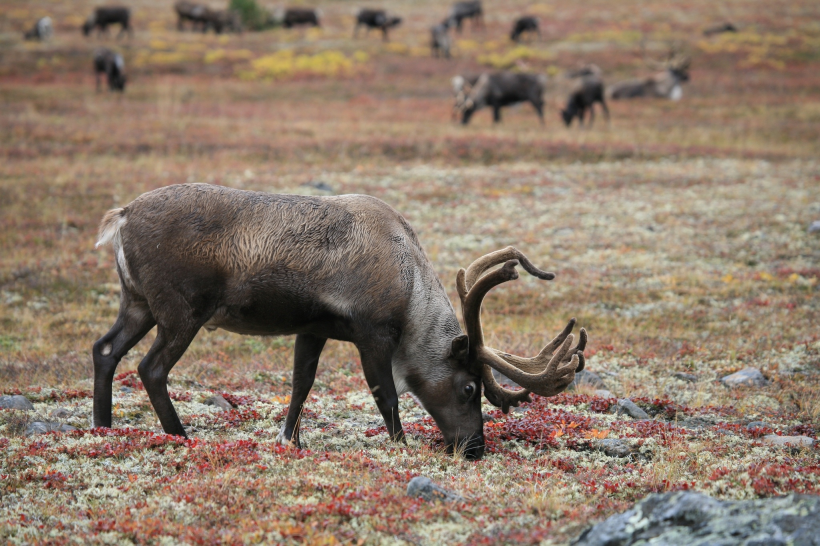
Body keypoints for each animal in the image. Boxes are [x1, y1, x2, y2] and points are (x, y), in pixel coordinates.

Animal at [94, 184, 584, 460]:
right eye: (469, 388)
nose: (475, 449)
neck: (410, 289)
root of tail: (121, 216)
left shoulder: (313, 328)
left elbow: (301, 385)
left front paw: (290, 441)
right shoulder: (373, 332)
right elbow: (385, 393)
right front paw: (401, 446)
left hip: (137, 302)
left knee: (105, 349)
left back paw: (103, 428)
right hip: (181, 311)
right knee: (150, 368)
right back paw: (180, 436)